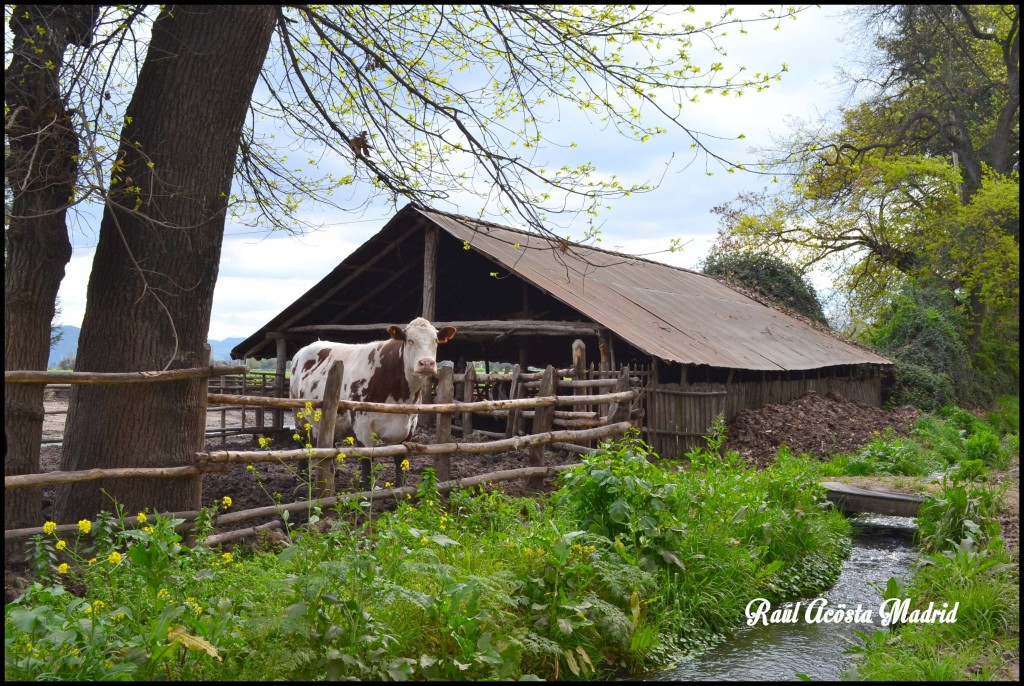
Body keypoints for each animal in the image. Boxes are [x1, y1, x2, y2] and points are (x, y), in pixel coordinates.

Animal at [292, 317, 460, 489]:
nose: (426, 363)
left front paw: (401, 488)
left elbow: (400, 457)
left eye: (436, 340)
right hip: (298, 412)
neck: (399, 395)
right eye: (409, 340)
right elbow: (367, 459)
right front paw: (366, 490)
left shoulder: (411, 423)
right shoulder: (361, 422)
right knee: (302, 440)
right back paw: (302, 477)